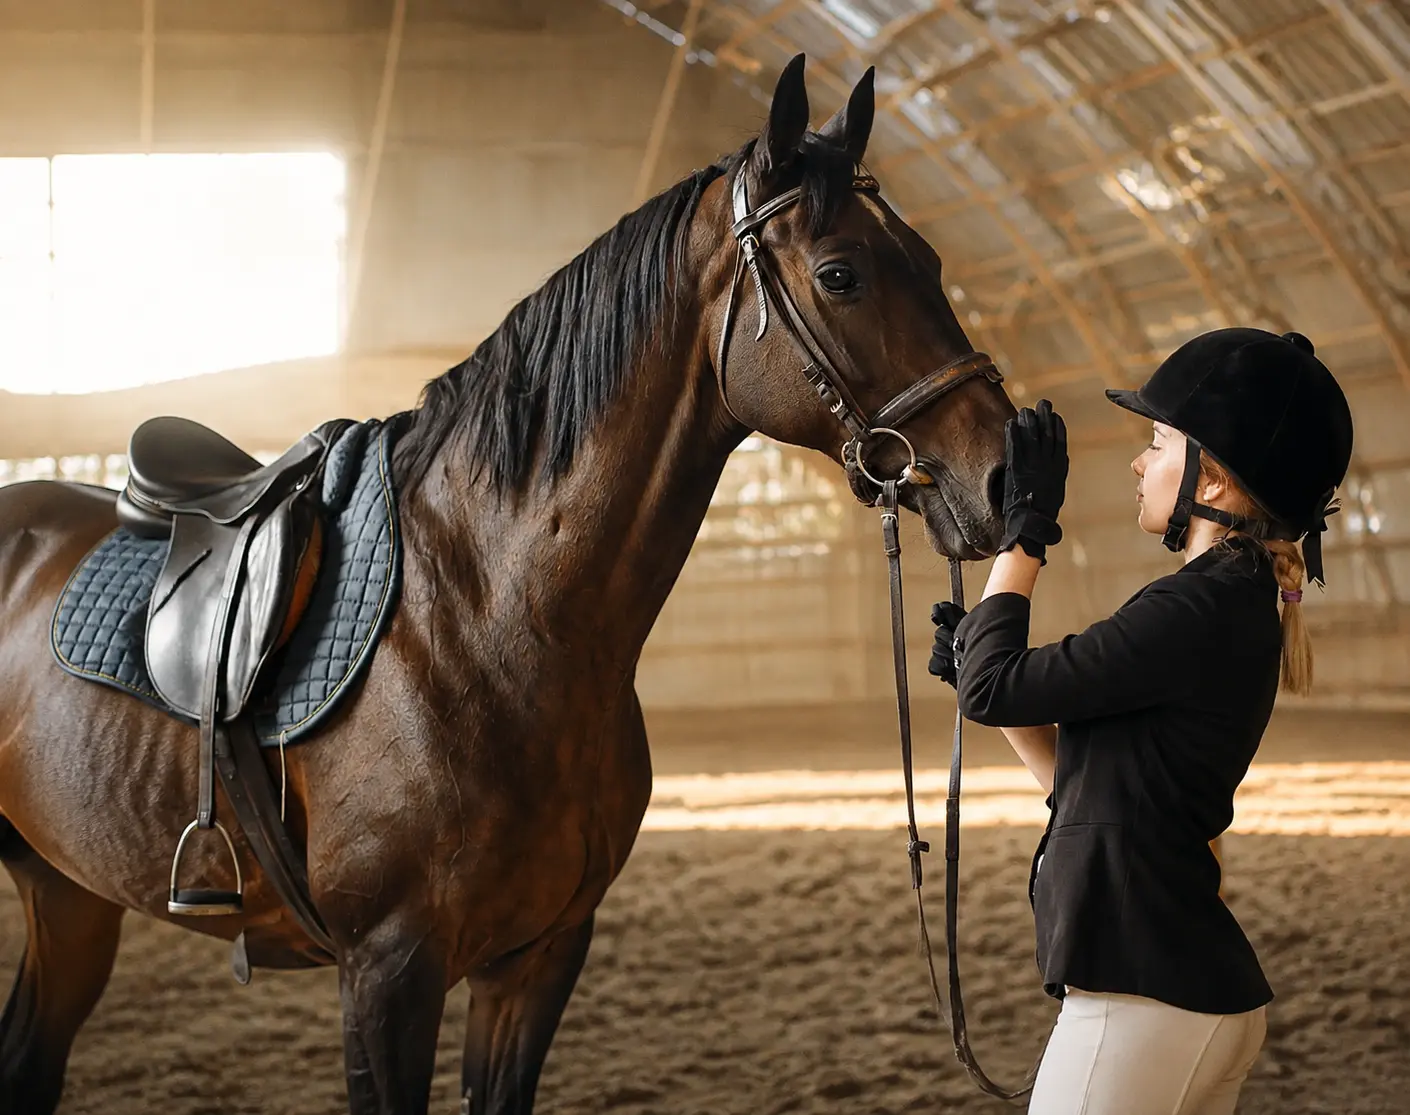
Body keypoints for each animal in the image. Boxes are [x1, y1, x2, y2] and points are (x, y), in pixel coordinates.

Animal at [0, 55, 1015, 1115]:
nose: (1012, 471)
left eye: (931, 261)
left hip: (67, 893)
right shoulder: (386, 975)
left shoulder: (537, 957)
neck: (486, 617)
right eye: (841, 274)